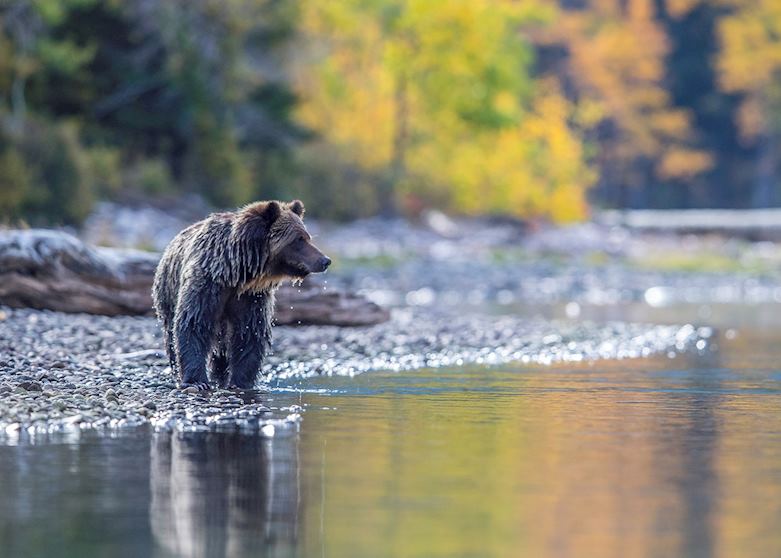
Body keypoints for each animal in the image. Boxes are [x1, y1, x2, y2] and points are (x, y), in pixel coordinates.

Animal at [152, 199, 330, 390]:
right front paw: (197, 381)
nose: (325, 260)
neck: (236, 272)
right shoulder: (207, 285)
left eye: (308, 237)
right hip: (167, 295)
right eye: (298, 239)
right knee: (171, 337)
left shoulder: (251, 297)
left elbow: (249, 333)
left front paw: (240, 382)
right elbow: (195, 323)